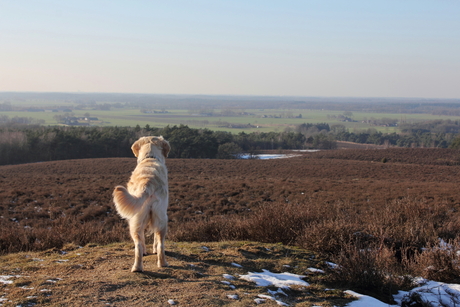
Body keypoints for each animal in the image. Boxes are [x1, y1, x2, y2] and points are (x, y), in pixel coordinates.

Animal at [113, 136, 171, 274]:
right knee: (160, 243)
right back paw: (161, 263)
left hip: (136, 220)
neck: (150, 157)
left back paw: (138, 267)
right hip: (161, 218)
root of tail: (147, 183)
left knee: (139, 245)